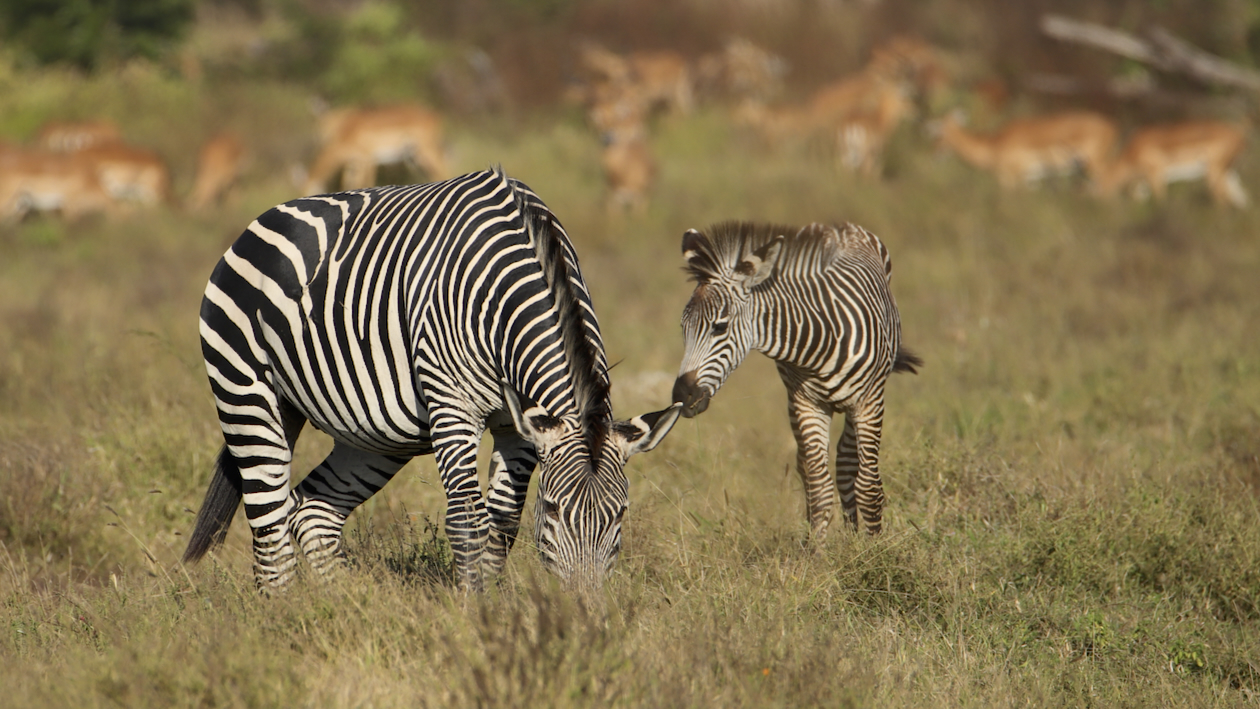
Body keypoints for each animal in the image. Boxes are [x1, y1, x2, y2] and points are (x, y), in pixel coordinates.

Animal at [182, 168, 685, 591]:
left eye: (620, 515)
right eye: (554, 510)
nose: (584, 609)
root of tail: (261, 221)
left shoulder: (516, 423)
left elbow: (503, 524)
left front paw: (495, 604)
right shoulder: (454, 406)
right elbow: (468, 521)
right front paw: (475, 613)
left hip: (371, 432)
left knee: (312, 511)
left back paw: (344, 606)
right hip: (245, 388)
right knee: (268, 520)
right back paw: (284, 614)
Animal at [302, 103, 446, 195]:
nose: (319, 138)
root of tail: (434, 115)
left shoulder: (367, 161)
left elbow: (365, 184)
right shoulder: (354, 163)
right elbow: (349, 185)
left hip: (426, 151)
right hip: (414, 158)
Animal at [675, 221, 922, 538]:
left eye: (720, 327)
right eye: (683, 328)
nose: (682, 395)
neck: (821, 340)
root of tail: (838, 225)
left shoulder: (869, 402)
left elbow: (868, 486)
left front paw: (876, 547)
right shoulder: (806, 403)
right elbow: (818, 487)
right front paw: (816, 549)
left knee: (846, 462)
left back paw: (856, 536)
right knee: (811, 467)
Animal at [937, 110, 1123, 190]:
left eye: (940, 133)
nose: (936, 152)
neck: (993, 144)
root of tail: (1113, 127)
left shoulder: (1008, 178)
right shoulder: (1030, 179)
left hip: (1092, 163)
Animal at [1098, 120, 1244, 206]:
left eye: (1103, 181)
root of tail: (1238, 135)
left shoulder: (1156, 175)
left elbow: (1160, 200)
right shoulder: (1144, 184)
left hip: (1214, 173)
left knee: (1222, 200)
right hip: (1229, 174)